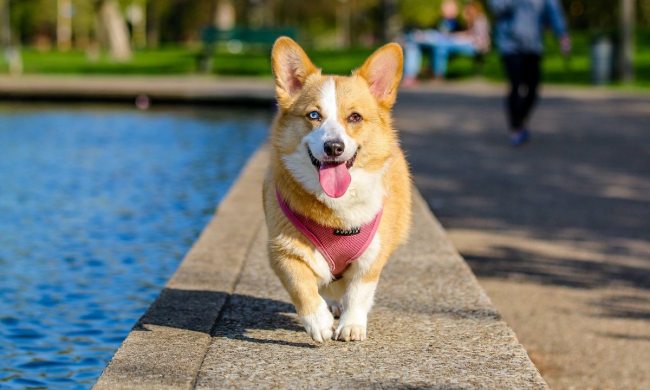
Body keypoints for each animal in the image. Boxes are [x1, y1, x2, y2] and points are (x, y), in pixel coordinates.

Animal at [262, 36, 410, 342]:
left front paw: (352, 325)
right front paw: (318, 322)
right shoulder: (282, 250)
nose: (334, 147)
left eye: (354, 117)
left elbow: (359, 292)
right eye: (313, 115)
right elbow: (302, 287)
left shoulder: (372, 257)